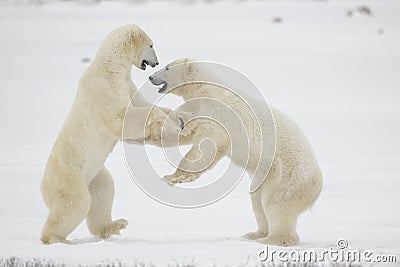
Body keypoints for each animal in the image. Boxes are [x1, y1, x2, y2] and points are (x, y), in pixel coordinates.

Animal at [40, 24, 181, 245]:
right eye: (151, 45)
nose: (156, 62)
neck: (110, 65)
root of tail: (43, 187)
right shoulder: (104, 86)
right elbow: (121, 118)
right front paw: (167, 123)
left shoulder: (126, 82)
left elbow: (139, 109)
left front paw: (179, 119)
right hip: (68, 176)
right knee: (75, 203)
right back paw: (57, 239)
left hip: (94, 175)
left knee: (104, 191)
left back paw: (114, 225)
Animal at [148, 59, 324, 248]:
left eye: (167, 67)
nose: (150, 77)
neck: (207, 88)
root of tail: (318, 184)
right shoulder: (196, 106)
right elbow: (185, 130)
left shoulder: (218, 110)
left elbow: (210, 142)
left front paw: (175, 177)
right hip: (264, 176)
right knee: (257, 201)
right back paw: (254, 234)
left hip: (287, 176)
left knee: (276, 204)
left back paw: (272, 239)